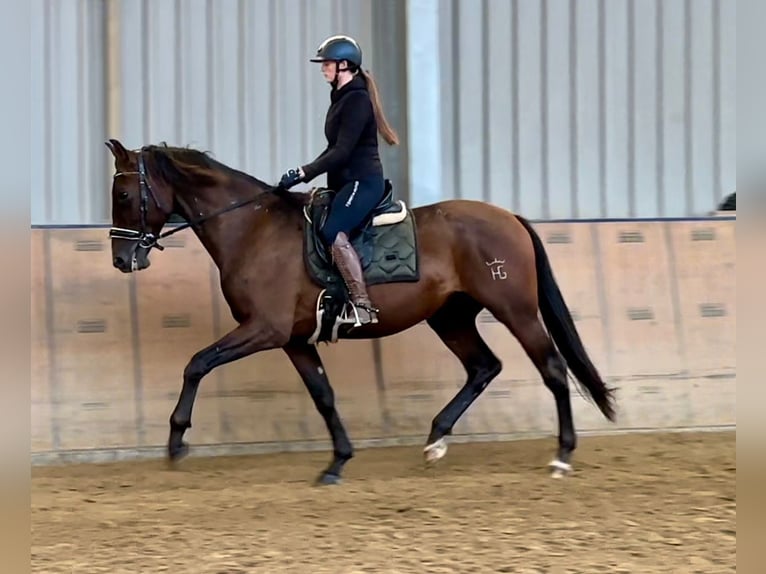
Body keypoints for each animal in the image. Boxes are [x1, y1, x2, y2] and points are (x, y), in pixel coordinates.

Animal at [105, 140, 616, 486]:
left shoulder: (264, 329)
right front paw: (337, 462)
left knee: (551, 369)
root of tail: (510, 218)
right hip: (450, 317)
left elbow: (197, 364)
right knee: (484, 367)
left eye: (125, 196)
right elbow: (324, 396)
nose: (122, 260)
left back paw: (562, 456)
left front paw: (176, 441)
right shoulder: (293, 339)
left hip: (514, 309)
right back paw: (435, 441)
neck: (252, 228)